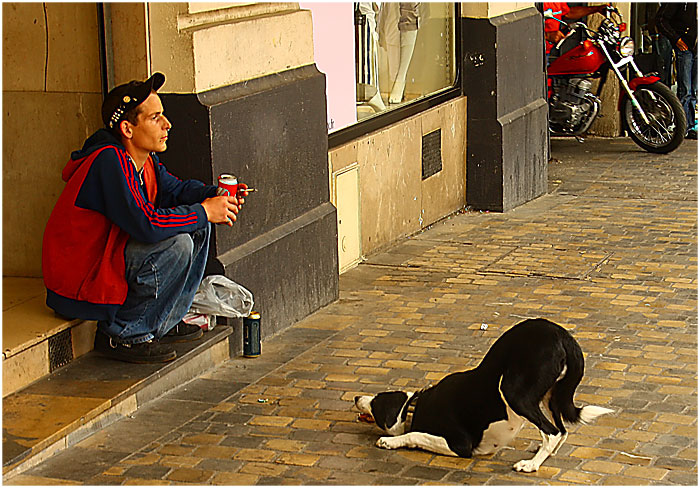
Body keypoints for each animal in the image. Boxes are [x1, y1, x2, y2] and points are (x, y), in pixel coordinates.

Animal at [356, 318, 612, 470]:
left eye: (377, 401)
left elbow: (414, 435)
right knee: (562, 431)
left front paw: (390, 441)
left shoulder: (460, 445)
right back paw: (542, 453)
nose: (356, 398)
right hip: (552, 396)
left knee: (553, 431)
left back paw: (531, 464)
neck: (418, 405)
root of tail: (562, 335)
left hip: (514, 393)